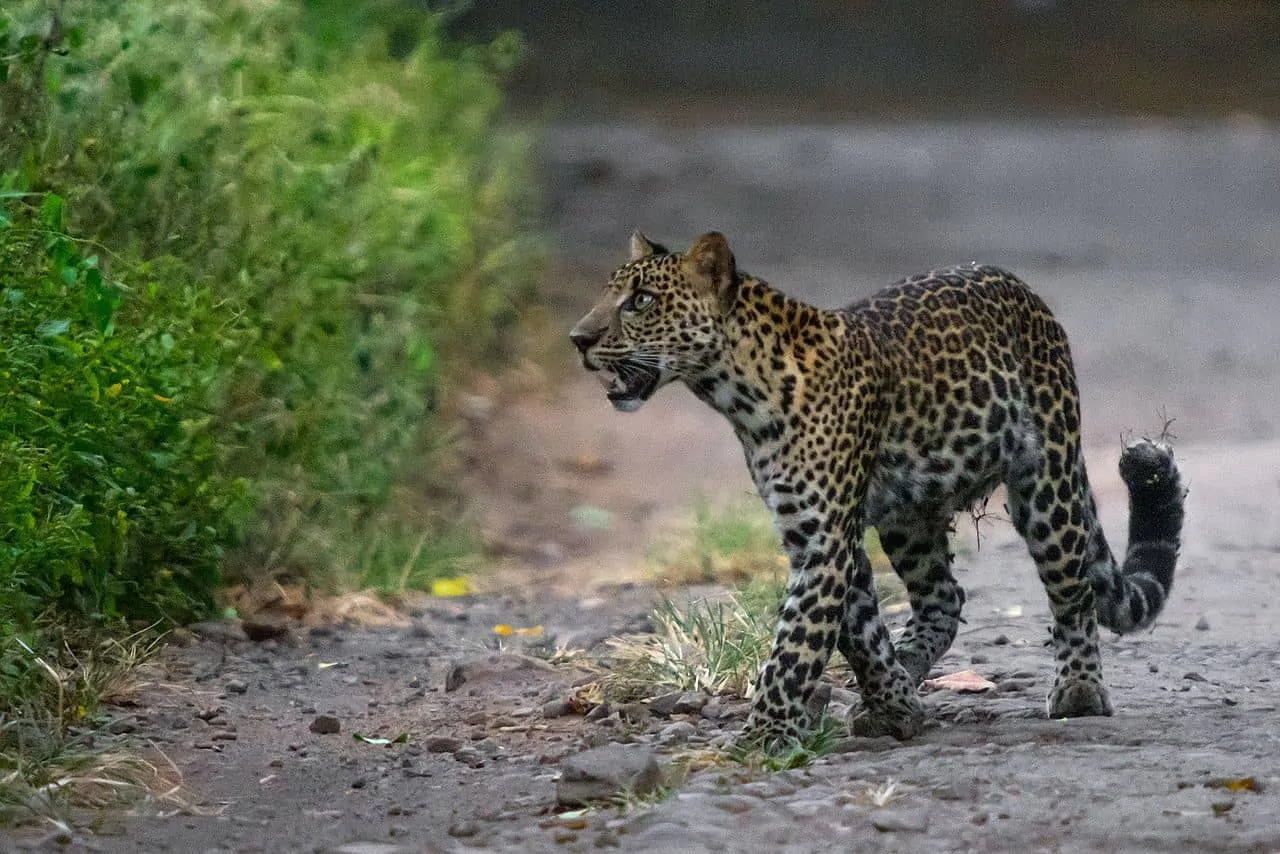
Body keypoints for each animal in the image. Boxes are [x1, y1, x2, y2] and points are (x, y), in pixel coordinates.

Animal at [573, 230, 1187, 742]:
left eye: (640, 301)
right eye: (608, 296)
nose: (579, 338)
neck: (737, 395)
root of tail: (1025, 290)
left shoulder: (824, 542)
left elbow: (794, 646)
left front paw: (763, 736)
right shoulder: (812, 533)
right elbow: (857, 631)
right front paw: (892, 704)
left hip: (1046, 482)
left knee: (1072, 591)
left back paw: (1079, 689)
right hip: (907, 517)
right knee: (945, 596)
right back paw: (908, 670)